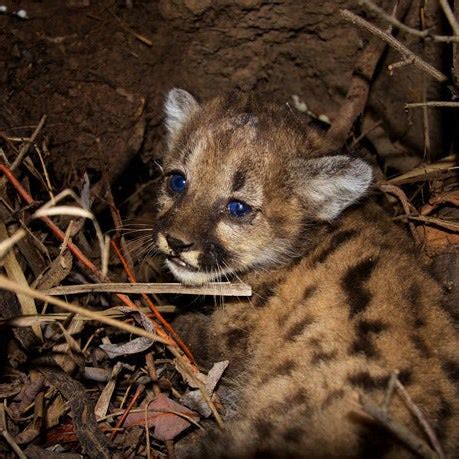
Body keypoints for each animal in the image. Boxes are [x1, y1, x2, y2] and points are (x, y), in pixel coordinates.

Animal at [153, 88, 458, 458]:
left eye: (238, 208)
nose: (176, 242)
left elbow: (198, 334)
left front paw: (176, 319)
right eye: (177, 181)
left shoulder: (229, 335)